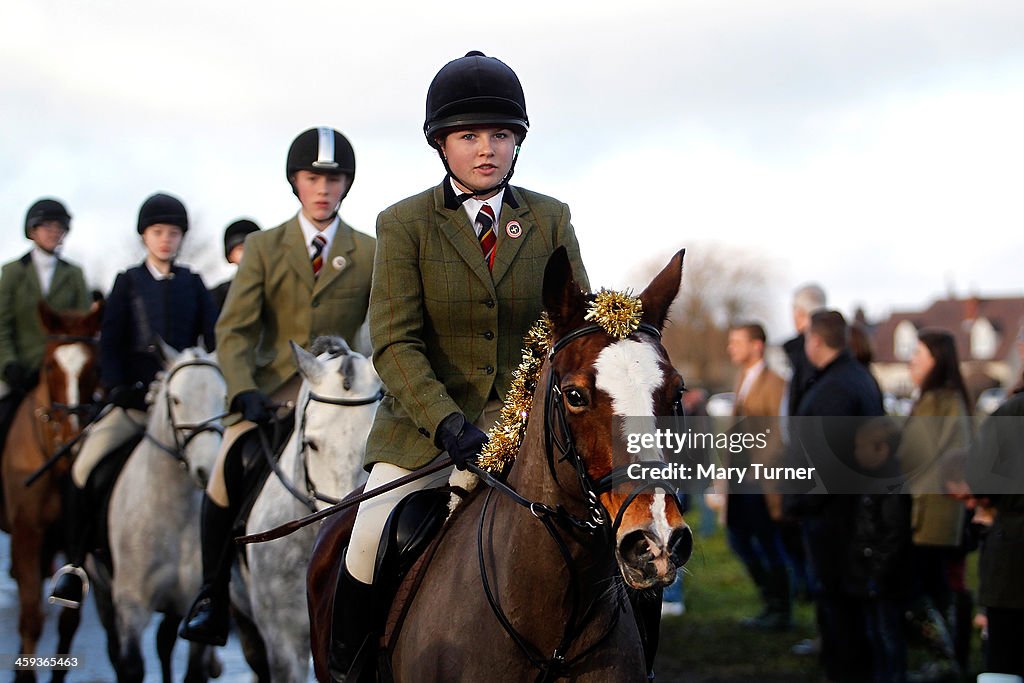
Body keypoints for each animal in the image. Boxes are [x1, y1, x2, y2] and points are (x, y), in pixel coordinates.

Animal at [0, 305, 102, 683]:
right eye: (48, 367)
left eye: (94, 367)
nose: (72, 437)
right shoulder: (27, 536)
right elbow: (32, 617)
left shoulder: (76, 543)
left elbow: (68, 621)